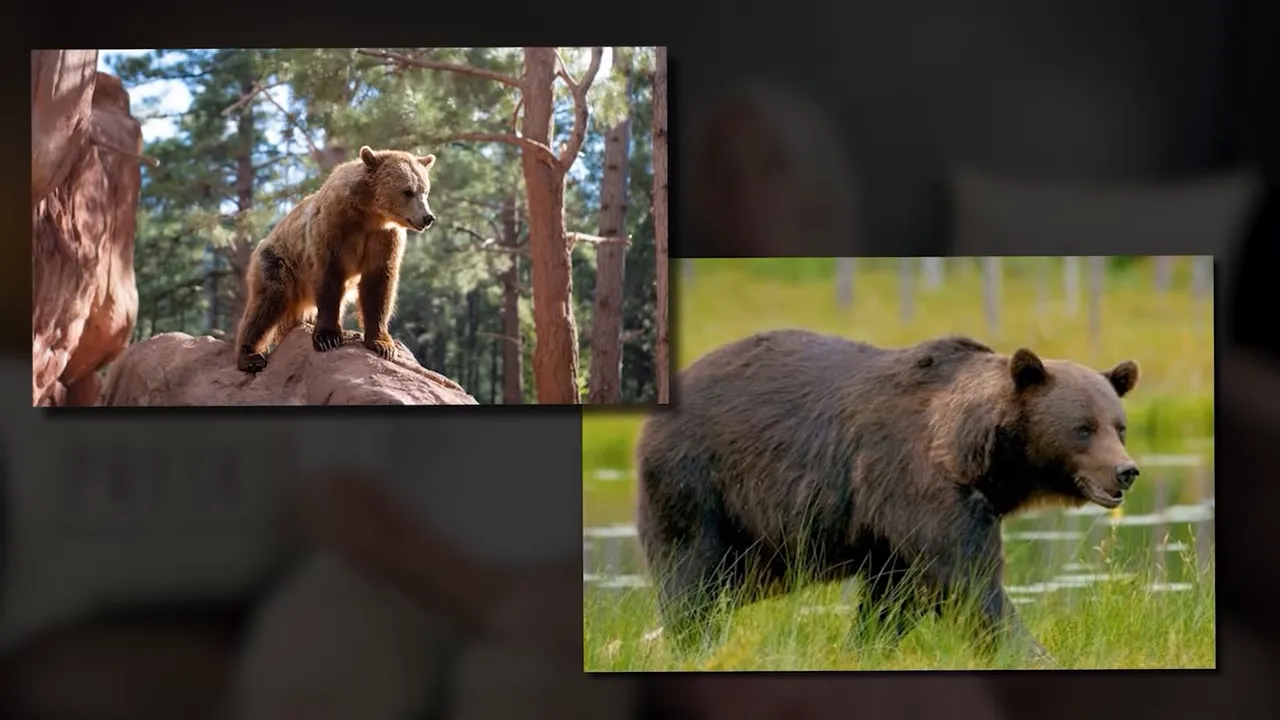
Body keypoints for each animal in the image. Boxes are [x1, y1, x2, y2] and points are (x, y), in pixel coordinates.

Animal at [234, 146, 438, 373]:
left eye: (425, 191)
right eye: (407, 191)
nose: (428, 217)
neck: (370, 214)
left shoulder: (384, 238)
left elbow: (379, 285)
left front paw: (382, 344)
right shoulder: (333, 227)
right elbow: (329, 279)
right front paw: (328, 338)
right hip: (279, 262)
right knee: (267, 301)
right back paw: (250, 356)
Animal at [634, 329, 1141, 663]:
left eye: (1119, 426)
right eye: (1083, 428)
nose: (1126, 471)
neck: (977, 458)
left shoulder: (891, 528)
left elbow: (892, 598)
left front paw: (865, 646)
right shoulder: (919, 487)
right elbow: (967, 582)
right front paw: (1030, 651)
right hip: (702, 483)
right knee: (692, 575)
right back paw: (690, 642)